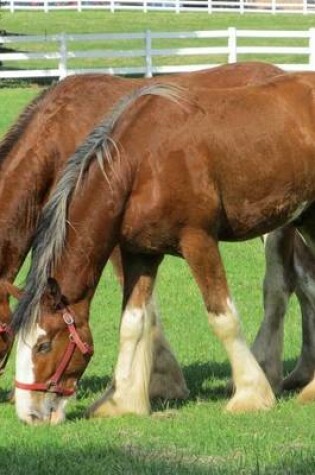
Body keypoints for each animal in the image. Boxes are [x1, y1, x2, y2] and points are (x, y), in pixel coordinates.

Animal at [12, 72, 315, 426]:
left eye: (43, 345)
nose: (29, 415)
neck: (144, 165)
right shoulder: (140, 253)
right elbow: (132, 323)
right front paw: (122, 401)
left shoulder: (198, 241)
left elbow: (223, 317)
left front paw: (251, 394)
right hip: (305, 219)